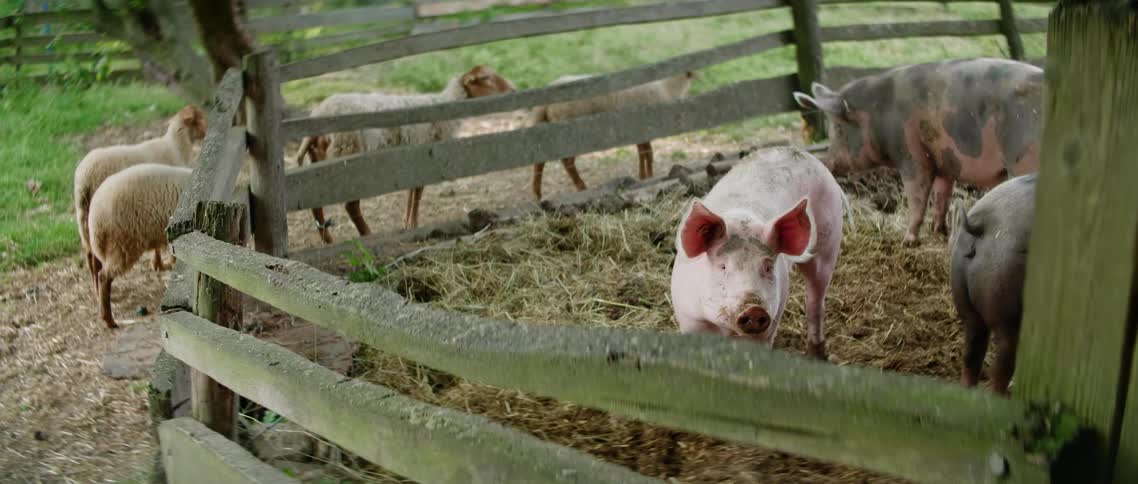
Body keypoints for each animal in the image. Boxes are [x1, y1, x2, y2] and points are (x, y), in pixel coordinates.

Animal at [670, 147, 848, 359]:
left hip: (828, 245)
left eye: (768, 267)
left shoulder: (771, 322)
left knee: (815, 301)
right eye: (723, 266)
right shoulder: (690, 320)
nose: (754, 308)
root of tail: (804, 153)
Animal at [792, 58, 1042, 246]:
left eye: (838, 128)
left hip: (1022, 161)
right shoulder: (944, 159)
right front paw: (938, 230)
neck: (878, 113)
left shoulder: (912, 156)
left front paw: (908, 241)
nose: (824, 162)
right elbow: (941, 196)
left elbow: (917, 198)